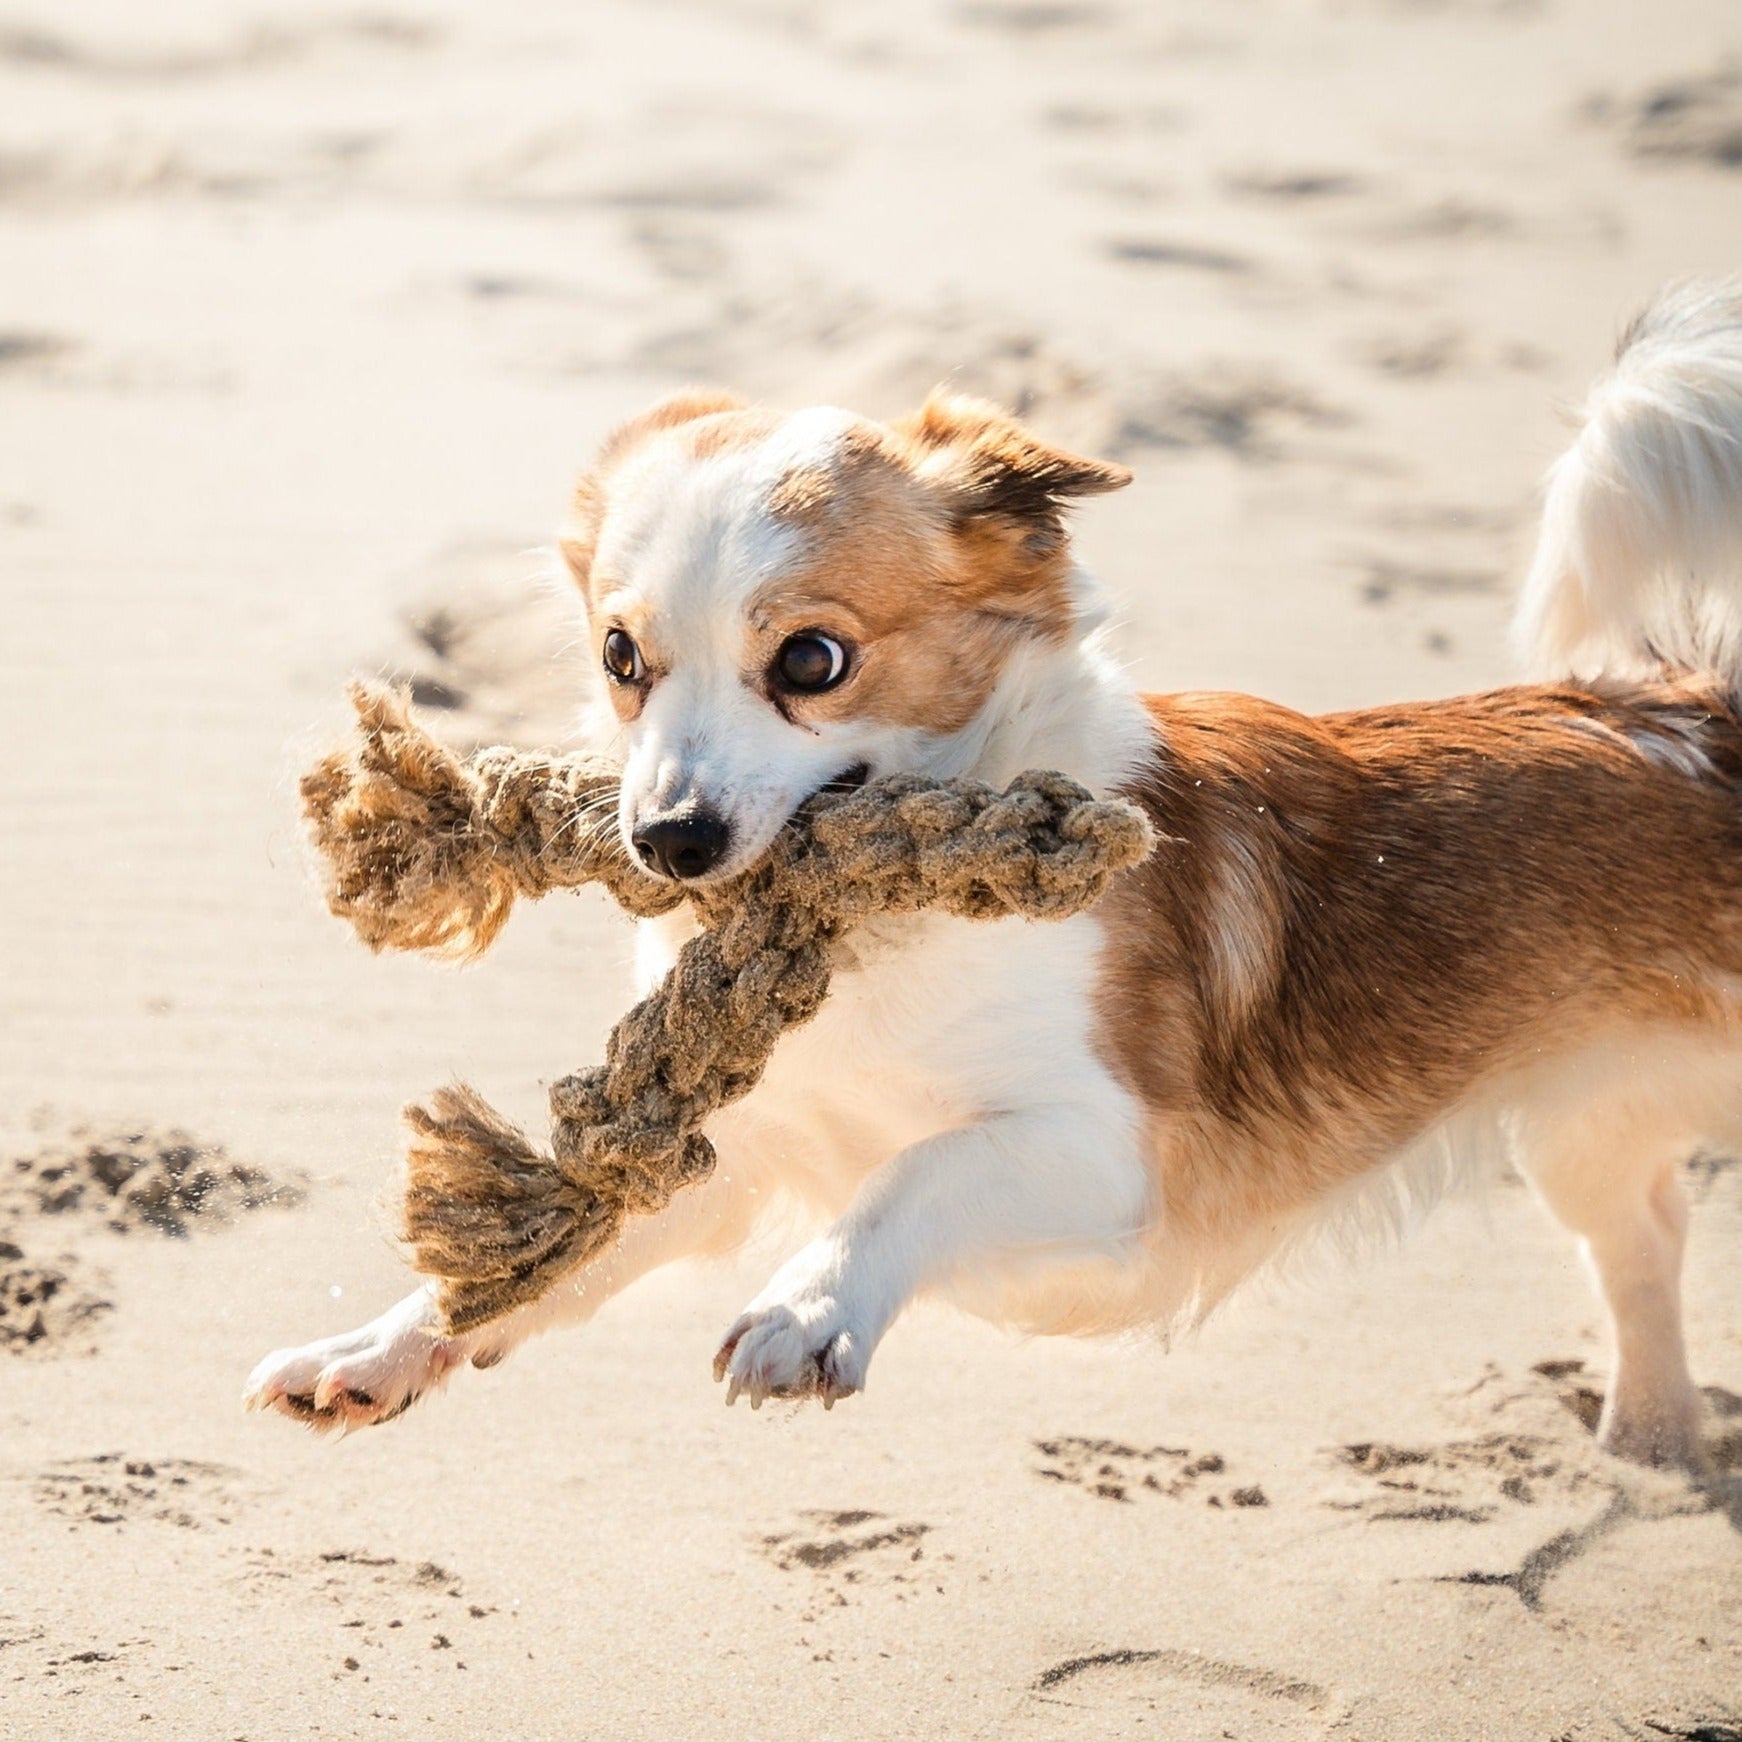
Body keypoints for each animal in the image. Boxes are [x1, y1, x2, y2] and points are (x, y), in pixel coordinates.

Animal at [245, 285, 1742, 1470]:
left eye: (812, 660)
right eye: (622, 658)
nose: (666, 838)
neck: (875, 954)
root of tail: (1698, 708)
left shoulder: (1103, 1150)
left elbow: (915, 1172)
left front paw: (807, 1306)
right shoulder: (742, 1148)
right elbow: (557, 1254)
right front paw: (384, 1344)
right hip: (1582, 1135)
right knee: (1647, 1236)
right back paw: (1649, 1438)